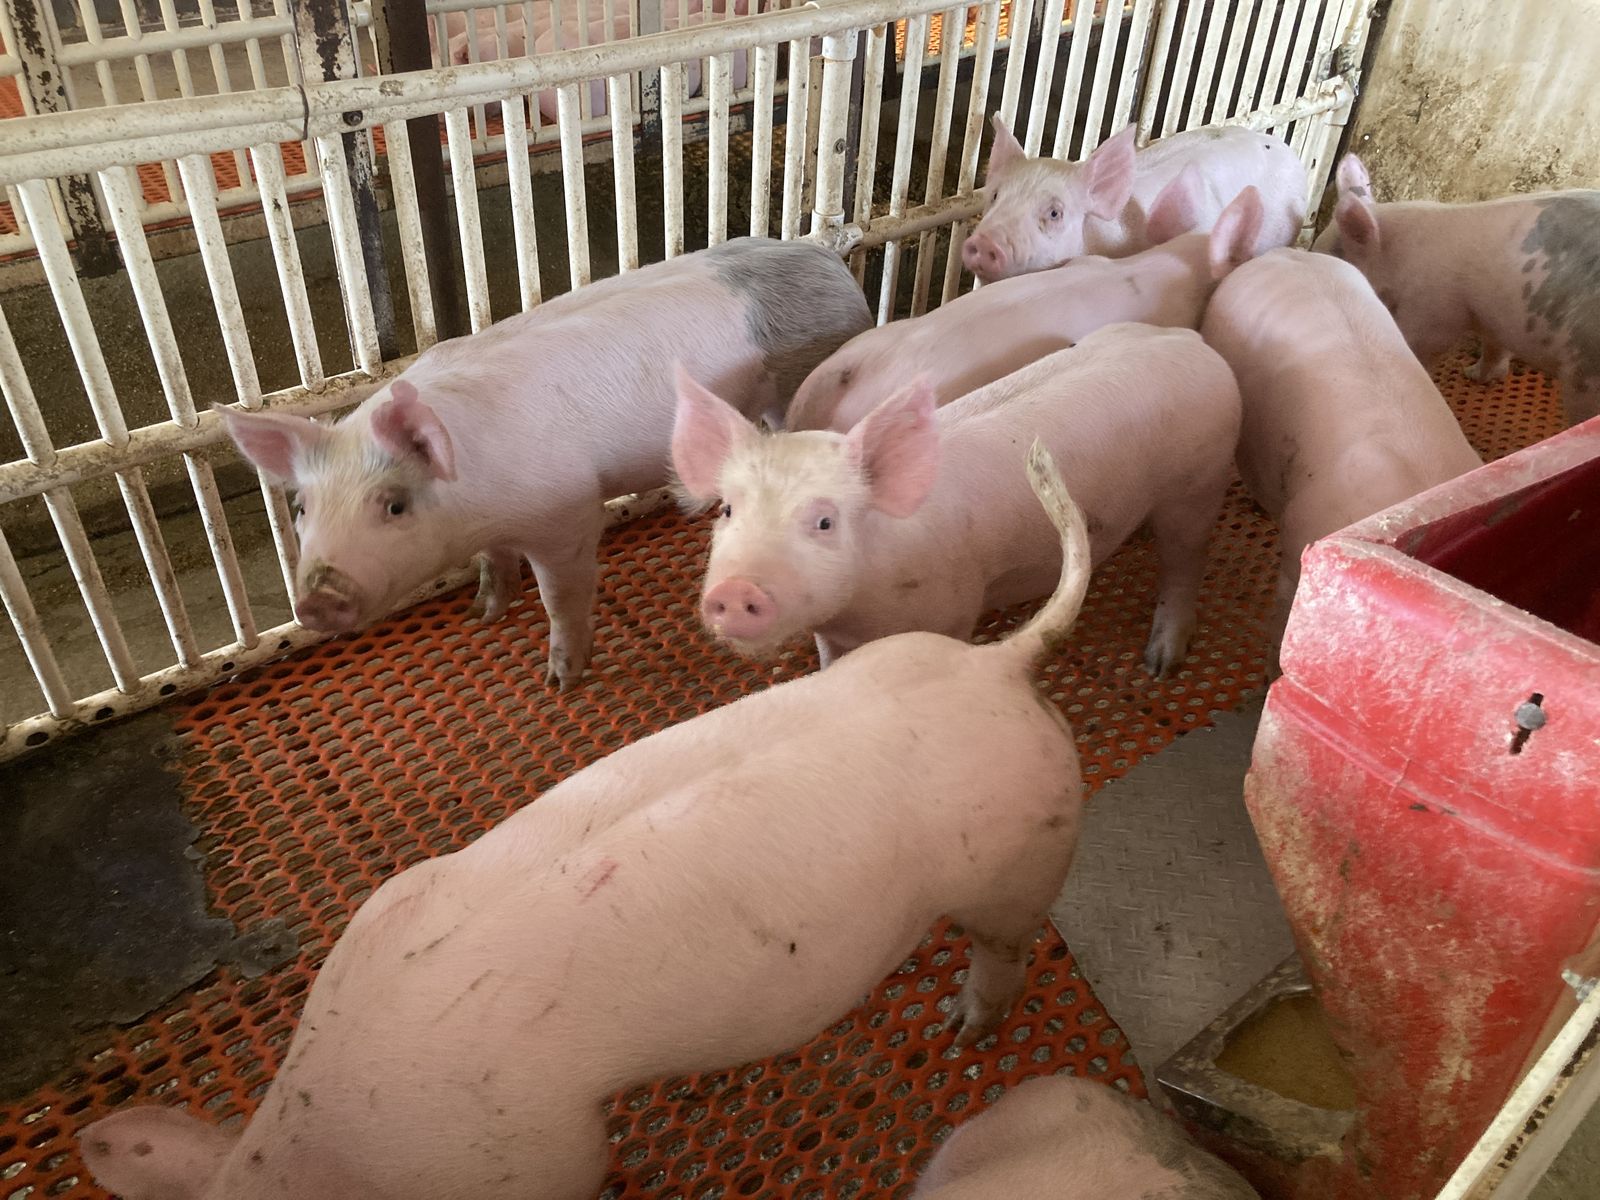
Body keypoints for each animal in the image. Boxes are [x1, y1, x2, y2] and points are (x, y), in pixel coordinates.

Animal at [78, 441, 1095, 1200]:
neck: (319, 1145)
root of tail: (999, 665)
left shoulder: (536, 1155)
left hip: (1023, 854)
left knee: (1006, 947)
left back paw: (965, 1029)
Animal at [218, 237, 871, 689]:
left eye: (394, 504)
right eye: (301, 507)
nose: (316, 600)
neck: (476, 499)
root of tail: (831, 259)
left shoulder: (567, 516)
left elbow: (562, 596)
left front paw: (560, 681)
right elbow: (494, 561)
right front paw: (482, 614)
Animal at [674, 321, 1243, 676]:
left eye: (824, 522)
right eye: (728, 510)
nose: (734, 590)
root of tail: (1193, 339)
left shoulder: (953, 607)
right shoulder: (832, 632)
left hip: (1199, 481)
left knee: (1186, 561)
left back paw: (1161, 664)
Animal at [1313, 154, 1600, 426]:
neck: (1398, 257)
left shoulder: (1432, 310)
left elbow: (1417, 344)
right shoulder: (1494, 316)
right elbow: (1495, 349)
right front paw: (1473, 375)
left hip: (1584, 374)